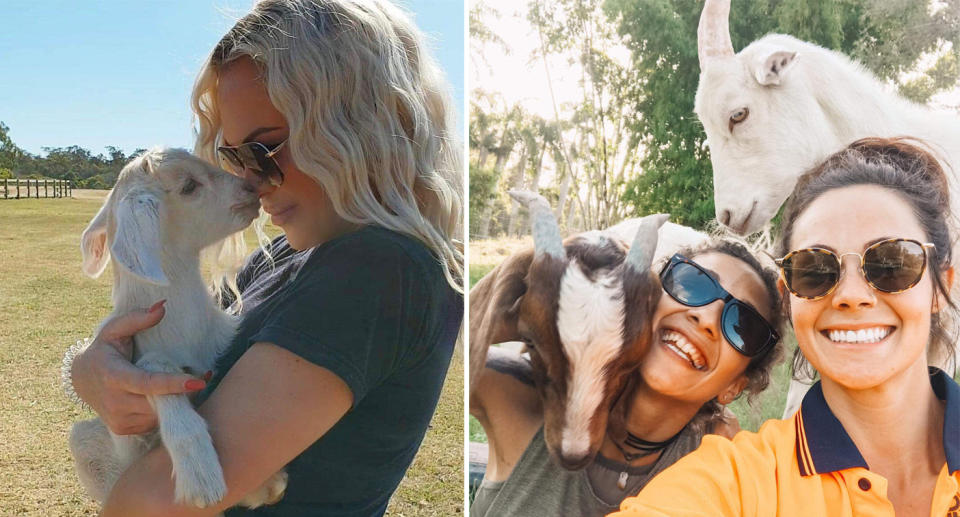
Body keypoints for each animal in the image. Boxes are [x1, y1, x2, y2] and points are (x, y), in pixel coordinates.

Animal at [70, 146, 284, 508]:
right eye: (188, 186)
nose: (251, 189)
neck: (187, 332)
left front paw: (269, 483)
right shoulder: (127, 434)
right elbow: (156, 368)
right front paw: (200, 476)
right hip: (83, 440)